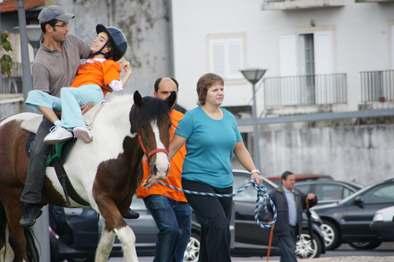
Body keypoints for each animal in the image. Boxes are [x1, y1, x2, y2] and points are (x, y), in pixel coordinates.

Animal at [0, 90, 175, 262]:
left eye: (169, 125)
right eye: (143, 126)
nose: (160, 167)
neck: (110, 143)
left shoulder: (120, 203)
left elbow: (104, 247)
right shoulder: (101, 199)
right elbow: (127, 236)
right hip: (11, 200)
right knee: (19, 247)